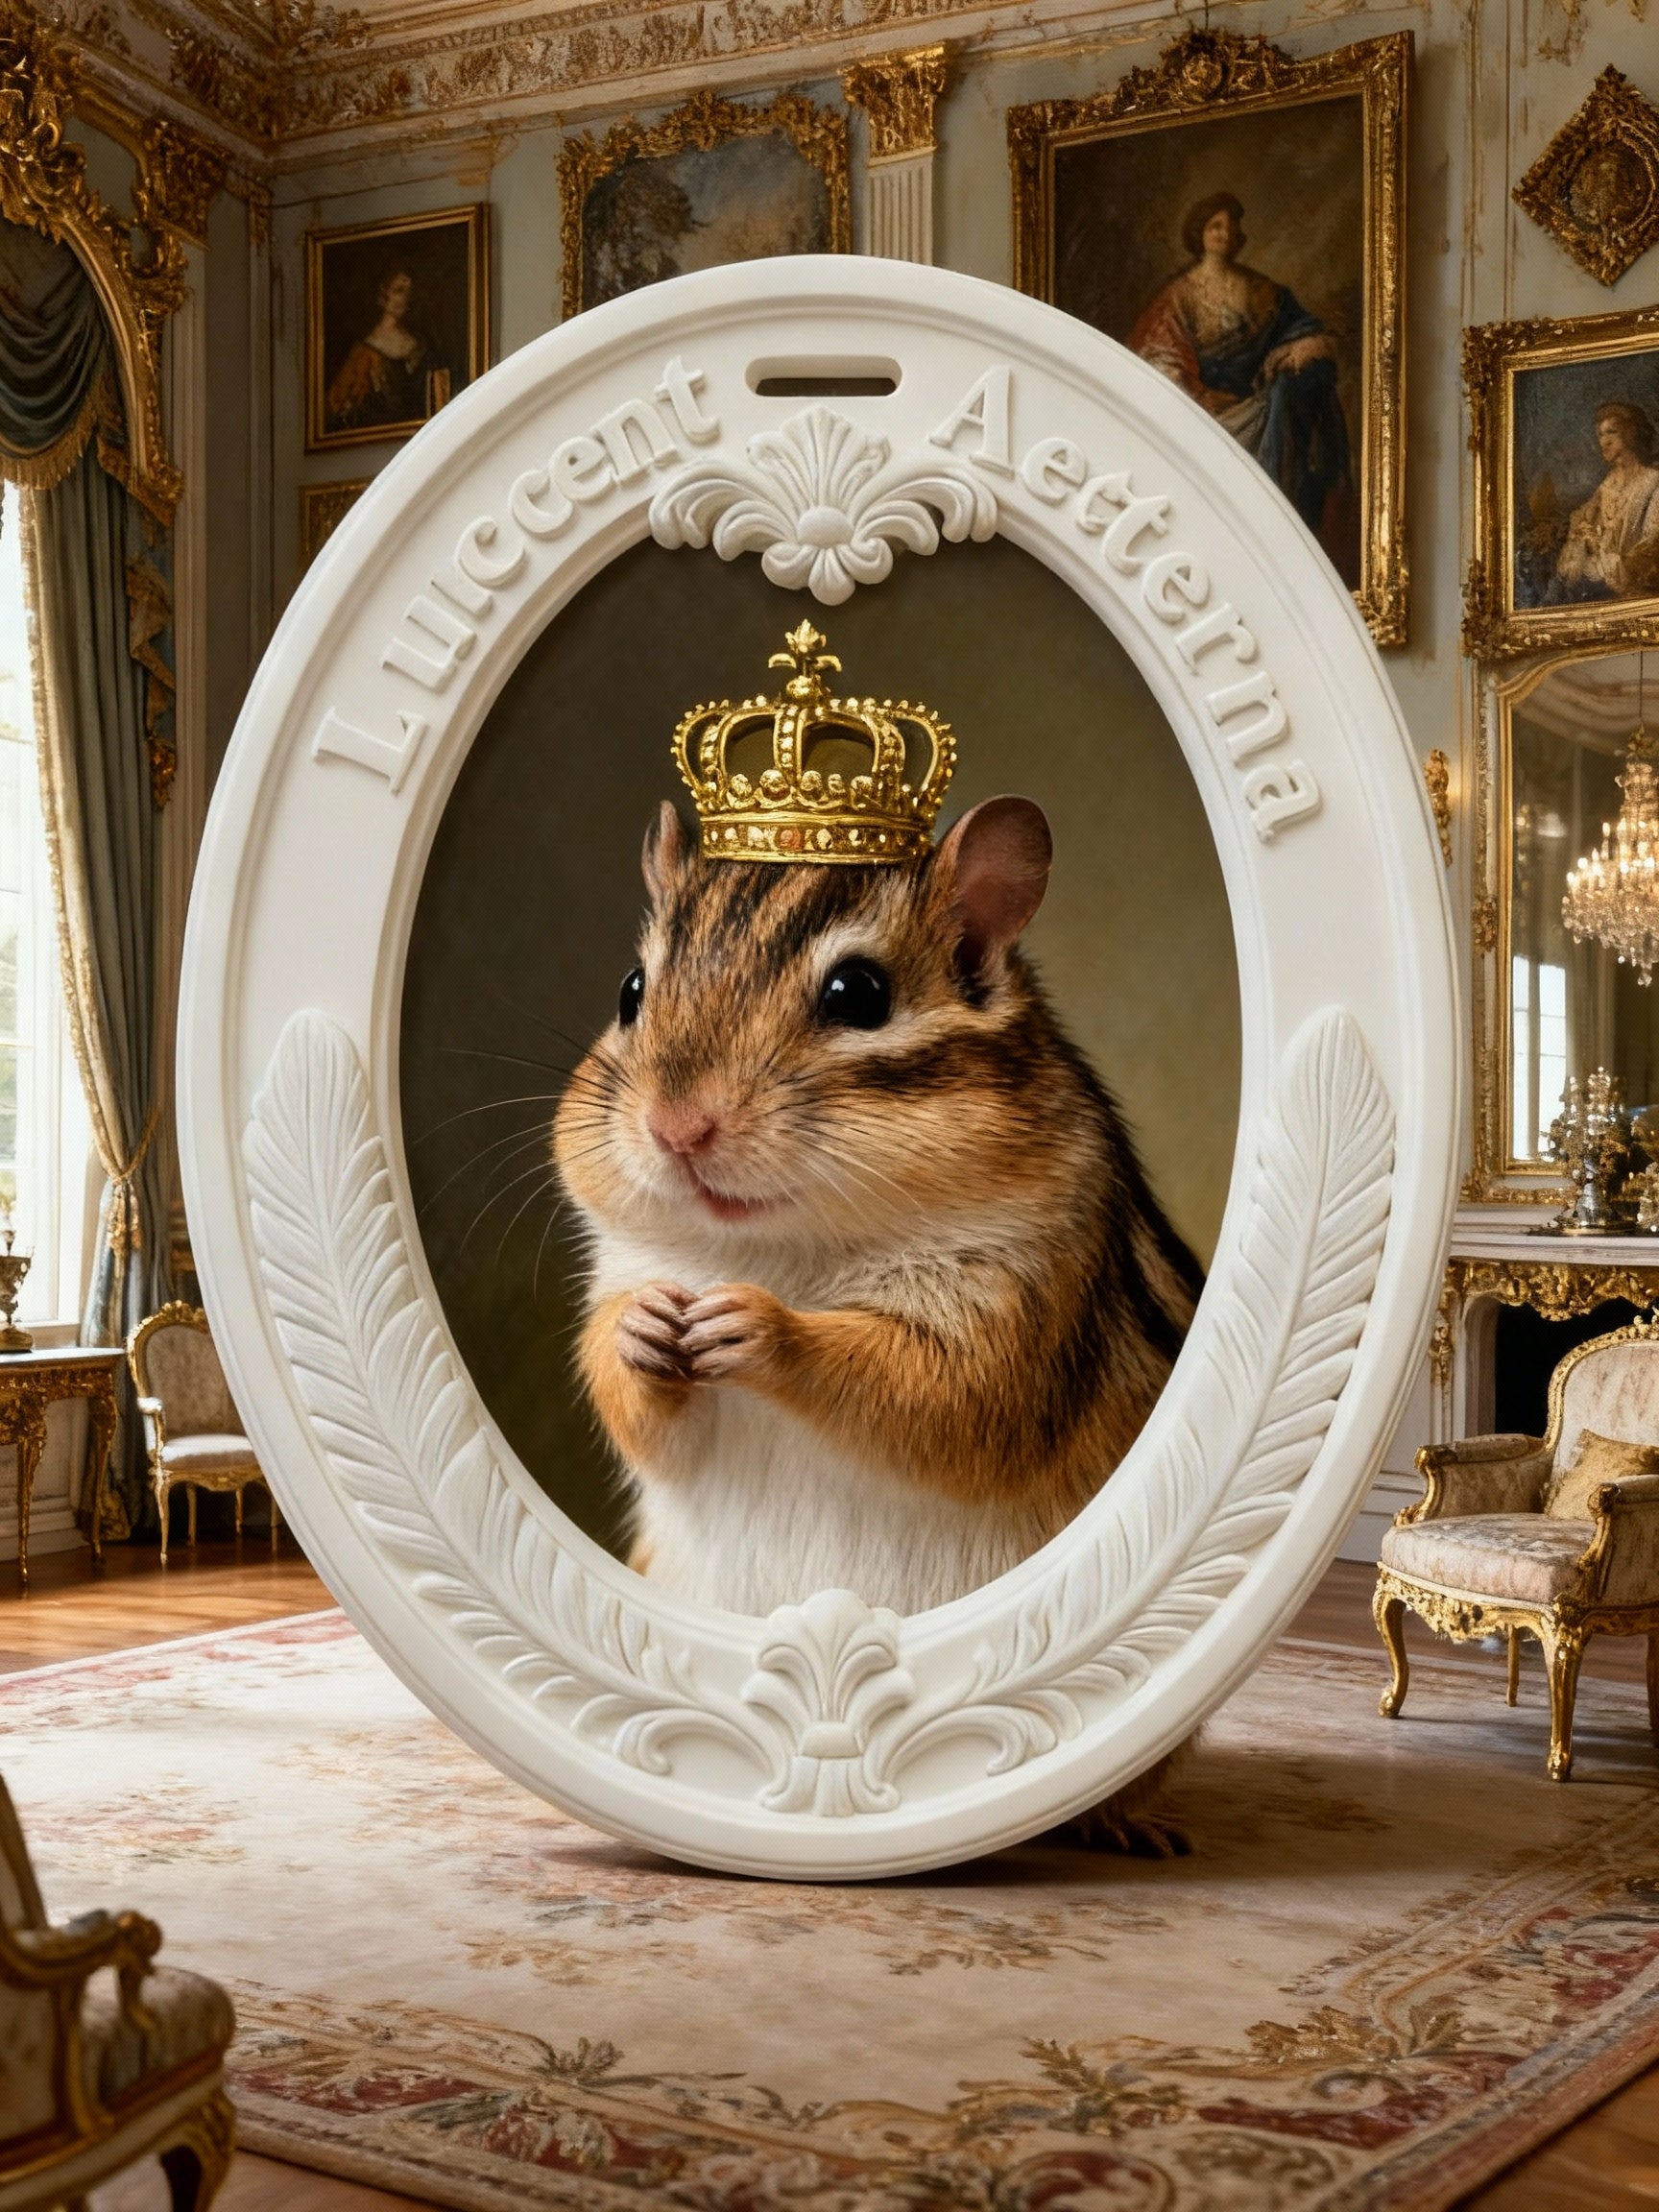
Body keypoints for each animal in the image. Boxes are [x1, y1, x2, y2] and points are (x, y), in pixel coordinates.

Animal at [552, 794, 1204, 1626]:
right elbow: (628, 1398)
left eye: (858, 994)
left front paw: (763, 1329)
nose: (677, 1128)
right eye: (631, 990)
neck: (776, 1253)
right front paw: (641, 1327)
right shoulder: (625, 1269)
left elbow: (939, 1396)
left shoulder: (1024, 1310)